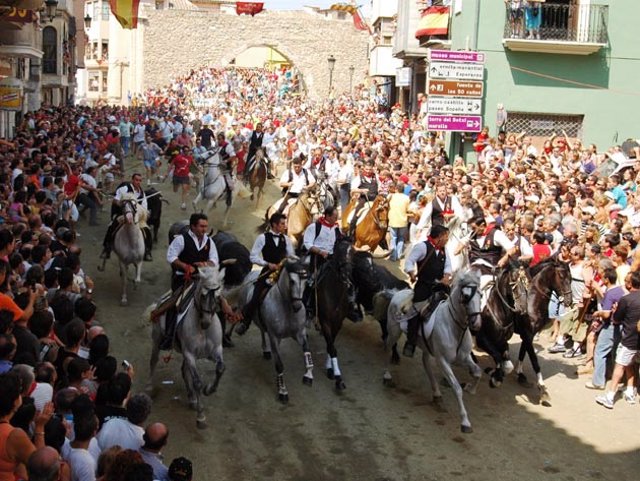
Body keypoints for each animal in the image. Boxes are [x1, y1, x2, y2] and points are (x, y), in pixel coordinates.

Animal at [146, 266, 226, 428]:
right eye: (203, 295)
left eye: (218, 295)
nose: (206, 322)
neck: (203, 330)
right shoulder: (190, 354)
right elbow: (197, 382)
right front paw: (201, 417)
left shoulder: (216, 350)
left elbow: (220, 369)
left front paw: (209, 390)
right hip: (157, 338)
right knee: (154, 360)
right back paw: (150, 387)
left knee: (184, 370)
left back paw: (192, 398)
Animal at [236, 258, 314, 402]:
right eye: (292, 281)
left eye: (306, 281)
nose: (298, 306)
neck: (287, 308)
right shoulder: (274, 338)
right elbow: (279, 365)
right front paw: (282, 391)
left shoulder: (299, 334)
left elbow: (307, 352)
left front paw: (308, 375)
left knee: (262, 329)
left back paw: (266, 351)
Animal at [382, 270, 482, 432]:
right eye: (466, 296)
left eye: (481, 295)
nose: (477, 324)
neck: (454, 327)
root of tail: (398, 293)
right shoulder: (443, 360)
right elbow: (456, 388)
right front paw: (465, 422)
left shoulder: (464, 357)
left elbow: (478, 373)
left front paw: (471, 388)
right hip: (394, 332)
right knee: (387, 347)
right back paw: (386, 376)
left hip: (426, 347)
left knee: (425, 363)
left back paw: (436, 394)